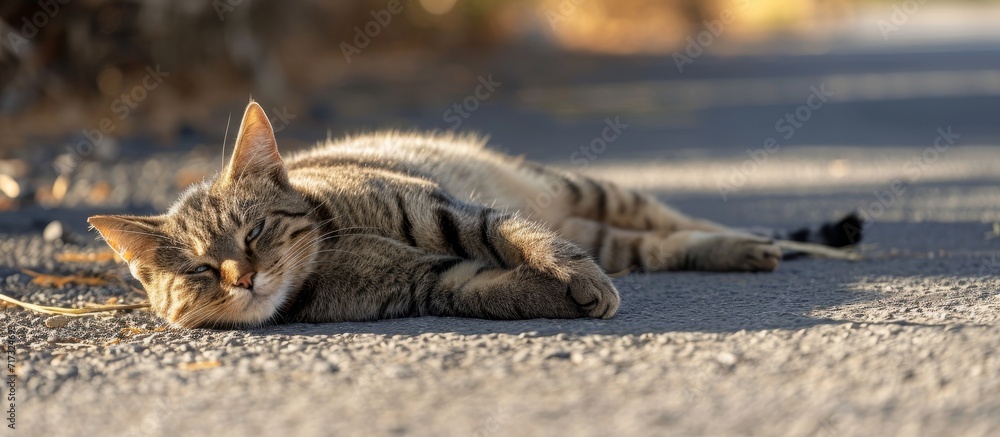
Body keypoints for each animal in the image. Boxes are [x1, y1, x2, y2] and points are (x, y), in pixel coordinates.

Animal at [90, 101, 864, 328]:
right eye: (199, 269)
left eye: (253, 231)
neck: (328, 257)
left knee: (664, 216)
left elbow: (510, 232)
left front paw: (577, 279)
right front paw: (563, 293)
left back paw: (758, 240)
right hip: (613, 231)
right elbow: (498, 285)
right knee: (657, 244)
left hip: (590, 191)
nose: (243, 277)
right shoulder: (431, 279)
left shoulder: (441, 210)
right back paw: (742, 250)